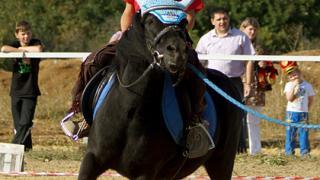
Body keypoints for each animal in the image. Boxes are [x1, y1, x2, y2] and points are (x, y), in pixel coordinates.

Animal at [78, 10, 242, 180]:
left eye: (183, 23)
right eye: (150, 21)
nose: (177, 51)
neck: (129, 113)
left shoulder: (145, 171)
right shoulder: (92, 159)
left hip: (221, 162)